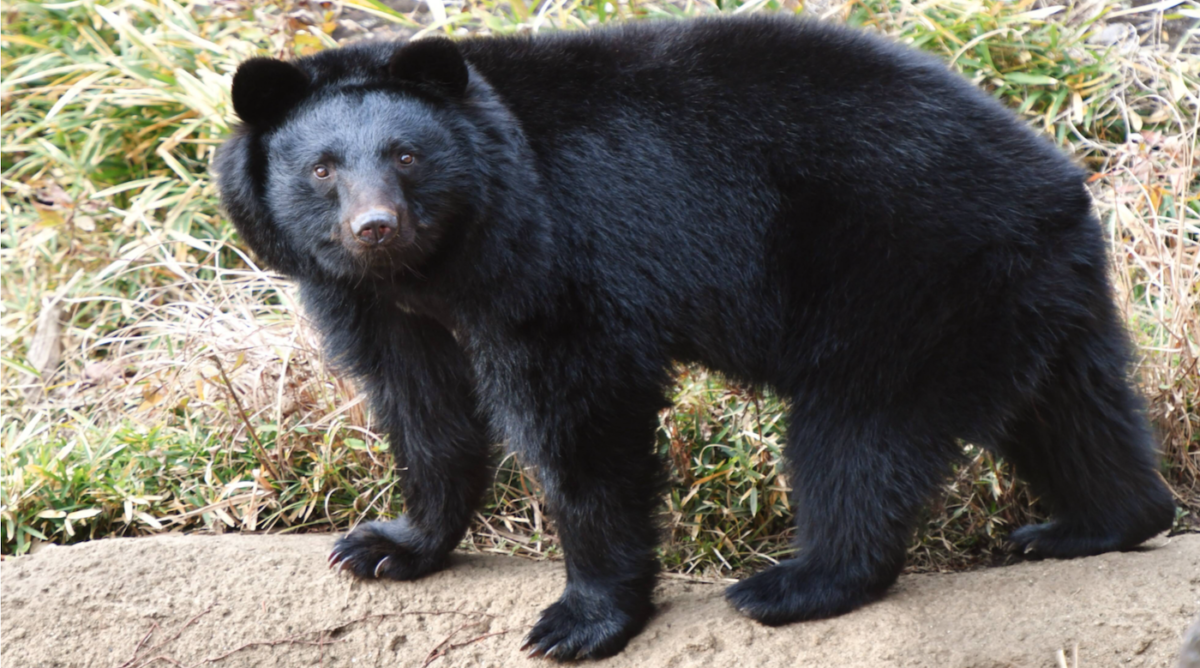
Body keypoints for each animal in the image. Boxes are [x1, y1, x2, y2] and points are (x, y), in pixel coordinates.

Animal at [216, 16, 1171, 662]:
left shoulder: (560, 257)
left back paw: (797, 584)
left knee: (859, 436)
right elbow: (423, 409)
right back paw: (1097, 523)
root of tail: (1062, 185)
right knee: (1074, 411)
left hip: (905, 283)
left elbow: (581, 419)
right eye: (322, 168)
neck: (445, 258)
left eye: (407, 156)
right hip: (1028, 296)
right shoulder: (372, 300)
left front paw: (579, 619)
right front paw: (386, 547)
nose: (375, 228)